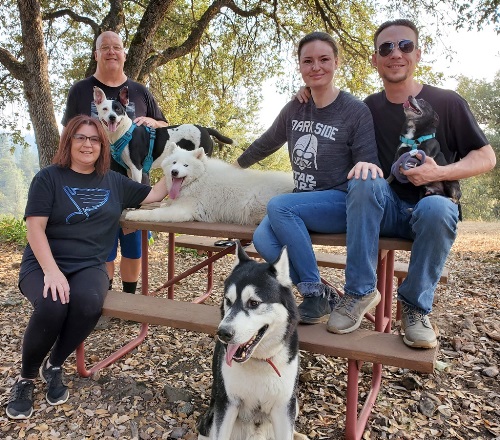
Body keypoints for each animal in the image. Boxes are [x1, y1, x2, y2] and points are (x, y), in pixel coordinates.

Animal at [94, 86, 234, 182]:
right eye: (105, 109)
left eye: (118, 109)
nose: (112, 117)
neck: (124, 131)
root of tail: (205, 129)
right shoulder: (130, 169)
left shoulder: (136, 168)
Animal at [123, 144, 294, 225]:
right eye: (174, 163)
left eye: (186, 165)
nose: (174, 172)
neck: (198, 179)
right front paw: (165, 203)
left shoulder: (183, 211)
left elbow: (154, 213)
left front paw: (134, 215)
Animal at [196, 241, 308, 440]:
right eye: (228, 300)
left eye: (253, 303)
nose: (223, 333)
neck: (259, 361)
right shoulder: (226, 403)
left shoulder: (283, 406)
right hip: (210, 418)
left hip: (294, 404)